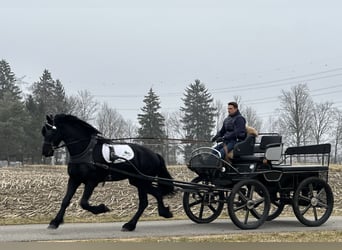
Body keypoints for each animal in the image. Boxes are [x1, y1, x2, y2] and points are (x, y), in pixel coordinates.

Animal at [41, 114, 174, 231]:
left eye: (52, 132)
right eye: (44, 132)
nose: (45, 152)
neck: (86, 151)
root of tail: (155, 154)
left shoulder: (91, 181)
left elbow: (84, 203)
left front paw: (102, 208)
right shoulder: (74, 179)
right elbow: (65, 201)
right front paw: (55, 222)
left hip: (143, 181)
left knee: (146, 201)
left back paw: (132, 224)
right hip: (137, 181)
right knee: (153, 195)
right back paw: (157, 215)